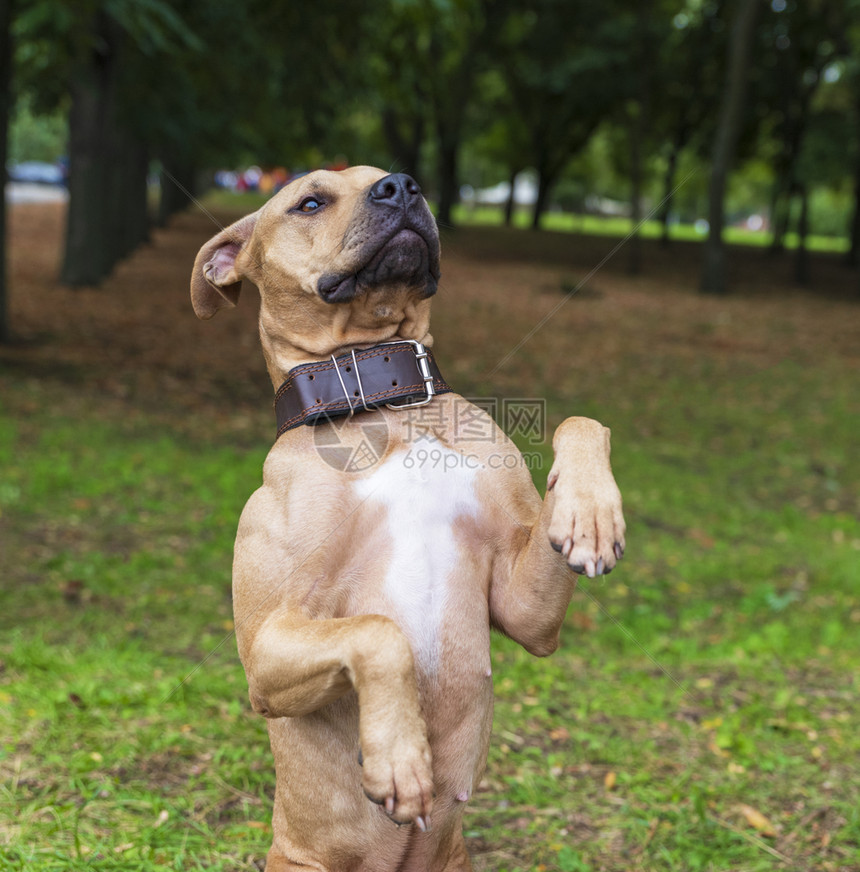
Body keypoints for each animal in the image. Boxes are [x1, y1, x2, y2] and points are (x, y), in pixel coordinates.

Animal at [191, 167, 628, 868]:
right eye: (309, 201)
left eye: (392, 179)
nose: (401, 186)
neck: (383, 402)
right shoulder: (265, 651)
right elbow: (378, 633)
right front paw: (401, 759)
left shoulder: (525, 612)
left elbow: (579, 421)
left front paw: (589, 514)